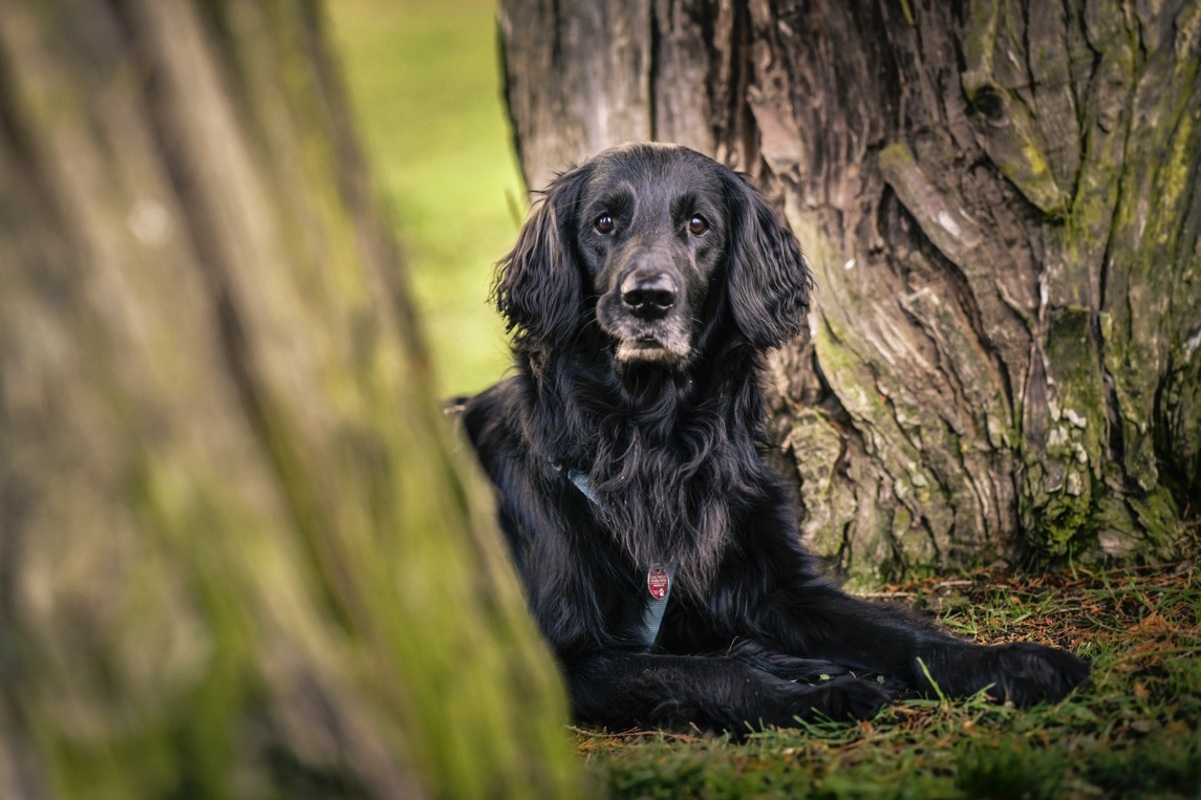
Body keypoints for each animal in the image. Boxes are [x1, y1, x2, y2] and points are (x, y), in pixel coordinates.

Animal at [456, 143, 1090, 730]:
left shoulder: (781, 587)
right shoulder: (564, 656)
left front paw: (1014, 661)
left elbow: (902, 634)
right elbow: (707, 672)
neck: (655, 440)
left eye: (698, 224)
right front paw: (824, 695)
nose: (648, 299)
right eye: (604, 222)